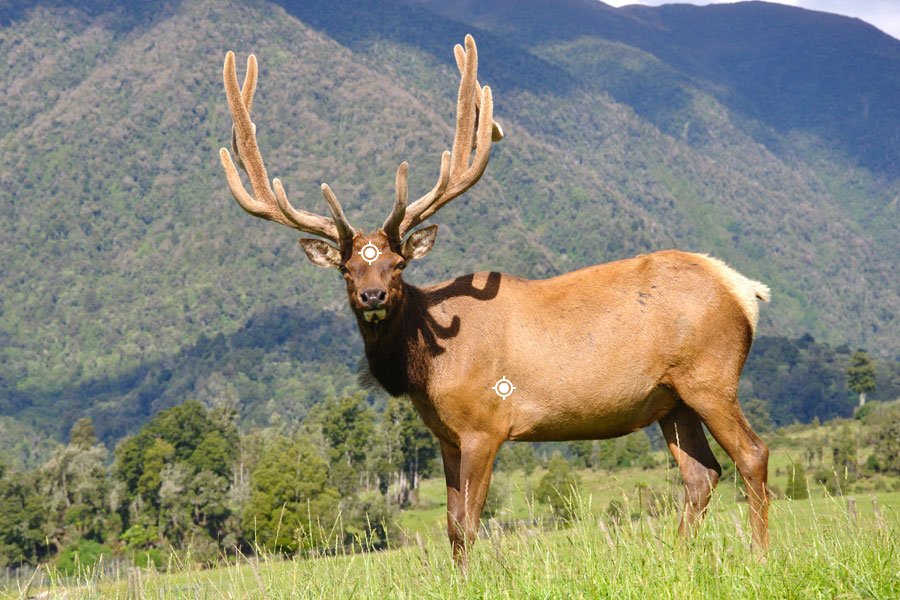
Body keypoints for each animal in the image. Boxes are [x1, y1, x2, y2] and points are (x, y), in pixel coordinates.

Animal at [220, 35, 772, 564]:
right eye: (347, 269)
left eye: (397, 265)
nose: (372, 294)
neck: (427, 367)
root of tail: (744, 289)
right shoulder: (444, 435)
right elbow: (450, 526)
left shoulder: (486, 424)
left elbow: (468, 524)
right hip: (670, 399)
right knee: (702, 476)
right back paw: (681, 559)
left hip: (711, 377)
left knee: (752, 455)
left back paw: (760, 556)